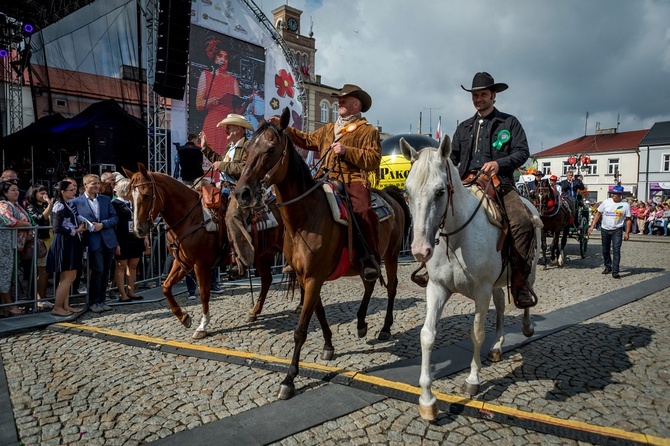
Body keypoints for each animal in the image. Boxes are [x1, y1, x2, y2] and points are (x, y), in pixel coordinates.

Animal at [126, 164, 286, 338]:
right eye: (130, 198)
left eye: (147, 195)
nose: (138, 230)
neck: (191, 217)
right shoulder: (183, 262)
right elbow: (166, 287)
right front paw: (184, 318)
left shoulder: (200, 264)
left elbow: (203, 293)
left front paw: (202, 326)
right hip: (262, 256)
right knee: (267, 280)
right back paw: (254, 312)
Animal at [234, 106, 412, 398]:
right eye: (247, 148)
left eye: (271, 149)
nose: (242, 193)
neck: (304, 217)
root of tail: (391, 195)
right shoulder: (305, 277)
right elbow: (318, 313)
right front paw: (329, 345)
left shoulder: (314, 277)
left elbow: (301, 329)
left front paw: (289, 379)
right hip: (367, 261)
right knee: (369, 283)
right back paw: (361, 323)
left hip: (392, 254)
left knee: (392, 287)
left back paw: (385, 328)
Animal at [402, 136, 544, 422]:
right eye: (407, 192)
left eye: (440, 192)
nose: (420, 250)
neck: (457, 237)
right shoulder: (437, 289)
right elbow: (427, 335)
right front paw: (427, 399)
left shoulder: (481, 291)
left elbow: (477, 334)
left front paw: (472, 380)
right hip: (497, 284)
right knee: (500, 306)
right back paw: (498, 347)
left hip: (529, 270)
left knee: (526, 293)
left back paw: (526, 326)